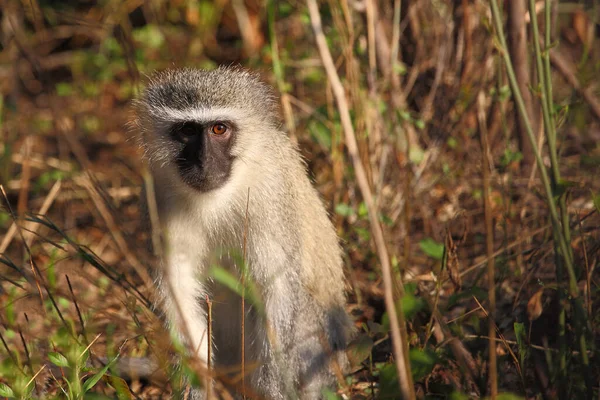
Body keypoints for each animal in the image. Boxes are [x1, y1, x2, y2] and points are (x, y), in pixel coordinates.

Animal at [135, 67, 352, 398]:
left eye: (219, 129)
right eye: (187, 130)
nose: (204, 161)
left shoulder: (270, 193)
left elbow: (277, 287)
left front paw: (273, 388)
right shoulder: (159, 196)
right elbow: (180, 289)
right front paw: (197, 387)